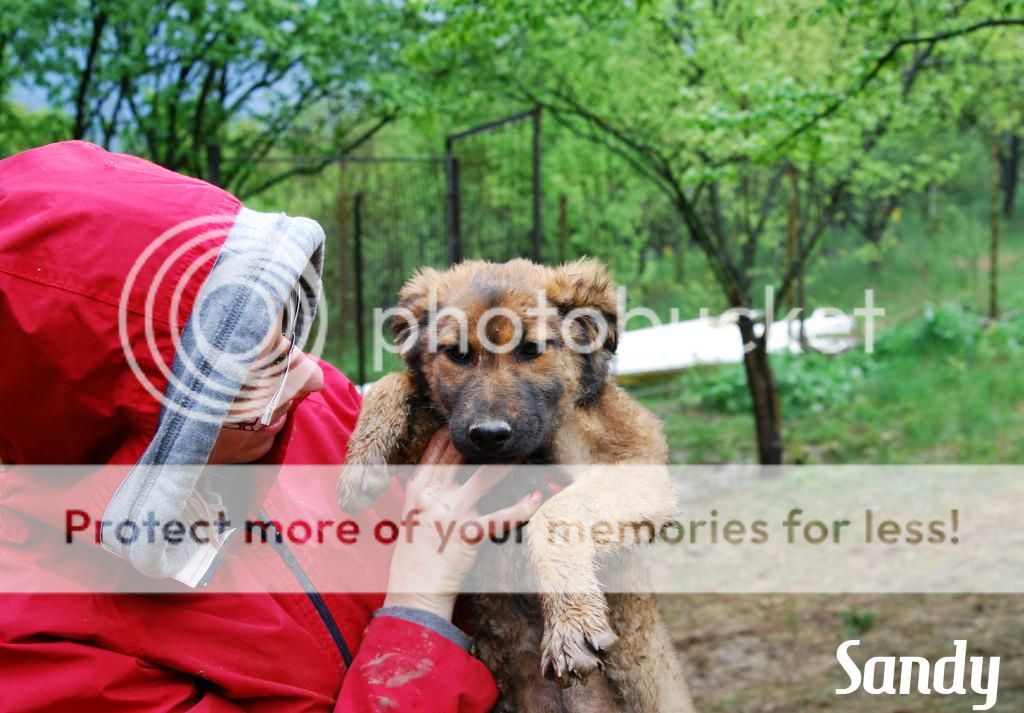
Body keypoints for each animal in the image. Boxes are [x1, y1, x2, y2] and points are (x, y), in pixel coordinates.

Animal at [335, 257, 696, 713]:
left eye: (531, 350)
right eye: (457, 354)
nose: (489, 435)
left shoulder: (636, 461)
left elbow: (554, 512)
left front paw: (570, 622)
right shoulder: (445, 440)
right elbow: (394, 381)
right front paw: (362, 456)